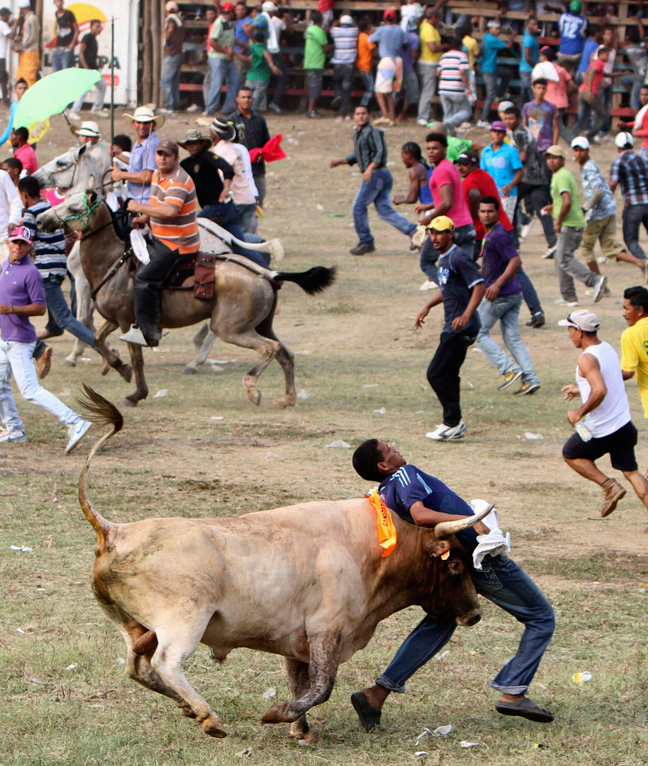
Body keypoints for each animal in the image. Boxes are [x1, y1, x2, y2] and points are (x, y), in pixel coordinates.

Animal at [36, 187, 334, 412]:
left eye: (73, 208)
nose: (40, 220)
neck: (114, 262)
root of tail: (266, 274)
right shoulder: (115, 319)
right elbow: (98, 339)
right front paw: (119, 367)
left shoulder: (128, 323)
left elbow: (136, 358)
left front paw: (136, 392)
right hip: (261, 325)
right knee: (286, 353)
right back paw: (287, 398)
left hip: (231, 328)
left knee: (268, 348)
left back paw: (251, 388)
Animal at [77, 390, 492, 744]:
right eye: (455, 564)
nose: (474, 614)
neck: (369, 546)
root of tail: (116, 530)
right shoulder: (327, 628)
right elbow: (322, 686)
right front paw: (280, 714)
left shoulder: (298, 640)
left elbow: (301, 682)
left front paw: (301, 729)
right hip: (184, 620)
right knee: (166, 662)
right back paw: (207, 715)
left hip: (137, 626)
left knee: (137, 665)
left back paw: (187, 707)